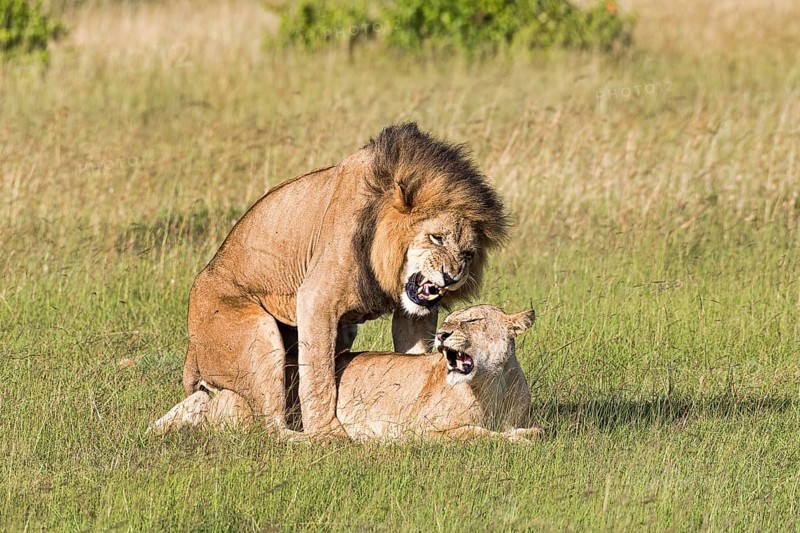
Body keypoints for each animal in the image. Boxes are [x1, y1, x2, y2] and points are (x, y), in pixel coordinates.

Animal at [148, 305, 542, 443]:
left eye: (472, 320)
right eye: (447, 321)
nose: (443, 335)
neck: (491, 385)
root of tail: (225, 390)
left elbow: (533, 430)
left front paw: (524, 434)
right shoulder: (421, 430)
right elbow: (476, 433)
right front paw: (513, 440)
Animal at [180, 122, 509, 439]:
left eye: (467, 254)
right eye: (436, 238)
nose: (451, 277)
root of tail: (191, 354)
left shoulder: (414, 314)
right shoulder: (315, 299)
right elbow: (319, 376)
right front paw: (328, 429)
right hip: (259, 335)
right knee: (271, 428)